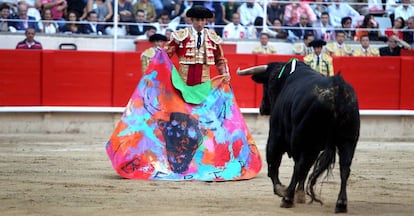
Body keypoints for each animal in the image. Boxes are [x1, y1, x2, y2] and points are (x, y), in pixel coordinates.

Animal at [238, 60, 360, 213]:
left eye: (268, 83)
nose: (262, 108)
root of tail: (337, 89)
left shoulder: (276, 135)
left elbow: (274, 163)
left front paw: (281, 190)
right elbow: (304, 169)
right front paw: (300, 194)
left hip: (304, 141)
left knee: (299, 166)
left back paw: (287, 198)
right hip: (347, 141)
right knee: (344, 167)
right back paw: (341, 203)